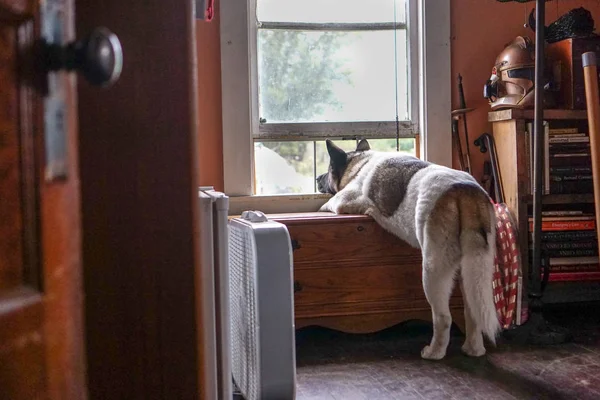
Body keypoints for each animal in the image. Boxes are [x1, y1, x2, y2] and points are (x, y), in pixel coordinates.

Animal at [316, 138, 500, 360]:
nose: (317, 178)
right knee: (472, 309)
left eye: (328, 170)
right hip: (477, 265)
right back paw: (473, 349)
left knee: (443, 317)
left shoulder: (344, 200)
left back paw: (434, 352)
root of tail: (465, 191)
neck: (360, 162)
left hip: (432, 268)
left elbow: (330, 203)